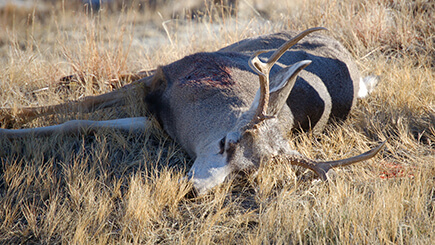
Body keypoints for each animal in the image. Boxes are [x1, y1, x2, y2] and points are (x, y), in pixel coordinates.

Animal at [0, 27, 384, 194]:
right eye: (225, 142)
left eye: (245, 173)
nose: (197, 189)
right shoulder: (162, 77)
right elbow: (82, 105)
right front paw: (8, 118)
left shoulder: (155, 124)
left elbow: (77, 123)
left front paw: (9, 128)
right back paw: (68, 77)